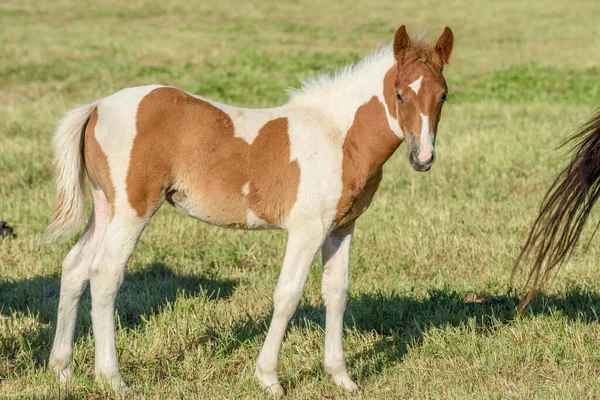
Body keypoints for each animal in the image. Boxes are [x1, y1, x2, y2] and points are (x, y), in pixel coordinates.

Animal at [47, 26, 454, 396]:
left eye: (443, 96)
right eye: (399, 93)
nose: (423, 158)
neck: (338, 137)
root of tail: (96, 107)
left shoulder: (342, 228)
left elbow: (337, 293)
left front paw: (342, 378)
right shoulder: (308, 228)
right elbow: (288, 295)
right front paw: (269, 378)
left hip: (105, 207)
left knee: (75, 267)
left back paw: (62, 369)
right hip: (133, 210)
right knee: (105, 274)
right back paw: (111, 378)